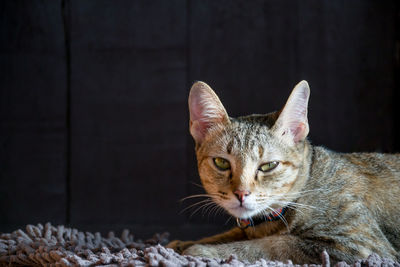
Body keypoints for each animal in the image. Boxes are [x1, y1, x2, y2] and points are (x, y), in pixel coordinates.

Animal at [166, 81, 400, 266]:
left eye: (268, 166)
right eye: (221, 163)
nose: (241, 193)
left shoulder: (360, 246)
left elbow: (272, 244)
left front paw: (205, 251)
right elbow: (228, 234)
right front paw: (184, 243)